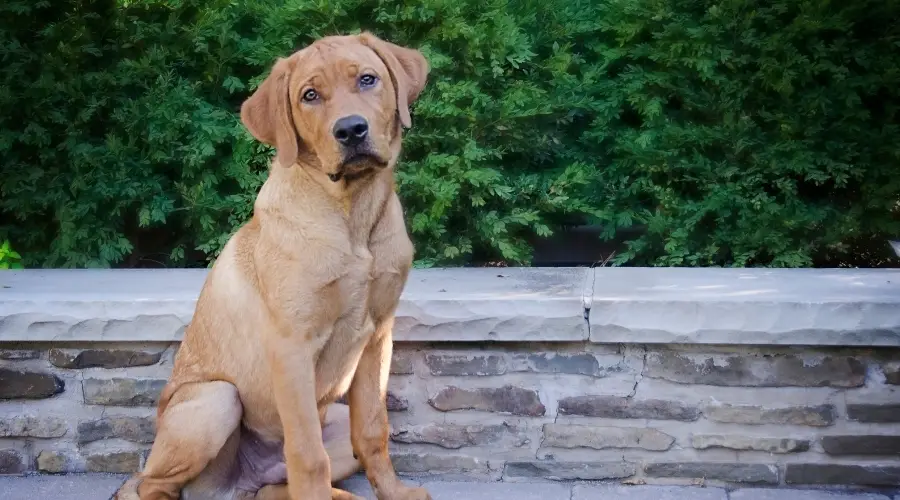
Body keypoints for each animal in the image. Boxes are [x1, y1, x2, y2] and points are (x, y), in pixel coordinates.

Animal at [114, 32, 430, 500]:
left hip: (331, 419)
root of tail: (237, 485)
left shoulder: (378, 335)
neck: (351, 214)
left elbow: (374, 431)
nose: (350, 130)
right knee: (153, 486)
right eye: (309, 95)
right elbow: (307, 454)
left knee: (275, 486)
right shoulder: (292, 345)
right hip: (215, 401)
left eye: (368, 79)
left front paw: (394, 493)